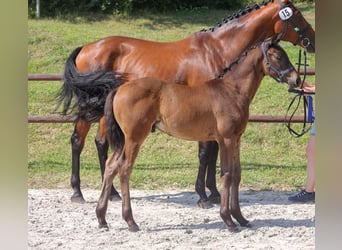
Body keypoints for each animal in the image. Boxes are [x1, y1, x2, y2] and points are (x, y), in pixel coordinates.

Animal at [56, 0, 316, 205]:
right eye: (297, 14)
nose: (312, 40)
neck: (217, 50)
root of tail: (86, 48)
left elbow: (212, 152)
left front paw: (213, 193)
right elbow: (205, 153)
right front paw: (203, 195)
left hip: (105, 112)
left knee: (102, 143)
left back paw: (111, 193)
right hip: (88, 109)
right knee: (77, 141)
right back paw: (78, 192)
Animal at [95, 40, 300, 231]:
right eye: (278, 56)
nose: (297, 80)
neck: (231, 90)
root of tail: (119, 89)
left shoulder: (236, 139)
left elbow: (236, 174)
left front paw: (240, 218)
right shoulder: (226, 139)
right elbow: (226, 174)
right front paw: (228, 220)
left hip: (123, 139)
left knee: (111, 166)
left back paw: (102, 218)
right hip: (134, 138)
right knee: (124, 169)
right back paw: (130, 221)